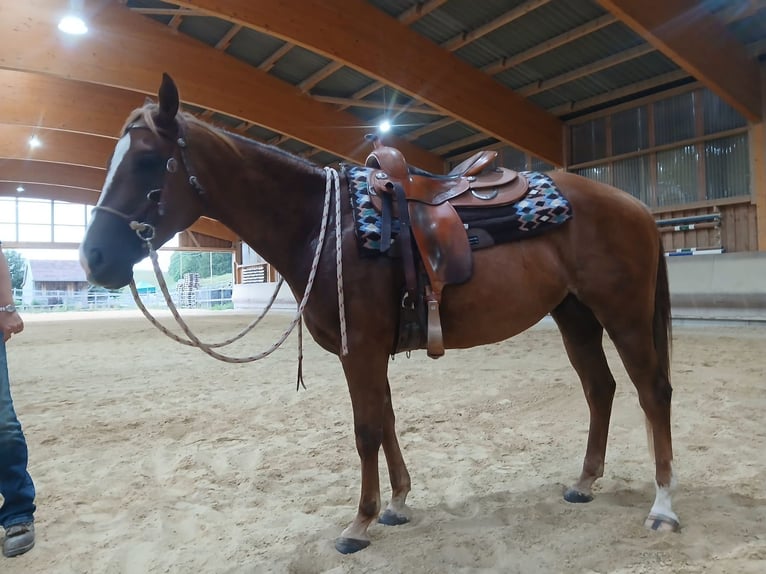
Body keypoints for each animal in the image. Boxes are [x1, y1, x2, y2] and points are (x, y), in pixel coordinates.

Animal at [80, 74, 678, 553]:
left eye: (148, 160)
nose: (94, 258)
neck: (324, 226)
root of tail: (635, 207)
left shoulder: (360, 348)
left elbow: (366, 428)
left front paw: (359, 523)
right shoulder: (372, 350)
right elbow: (386, 418)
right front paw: (397, 503)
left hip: (623, 315)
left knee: (652, 391)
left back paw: (663, 507)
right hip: (576, 317)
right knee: (600, 389)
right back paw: (585, 482)